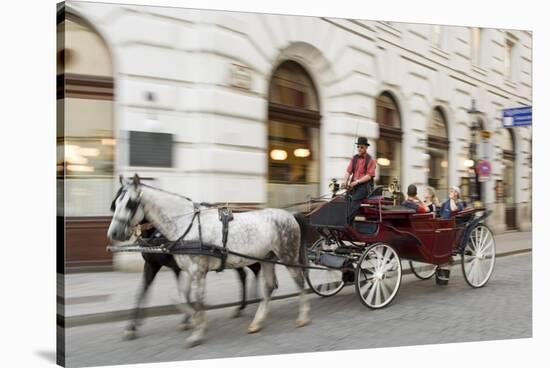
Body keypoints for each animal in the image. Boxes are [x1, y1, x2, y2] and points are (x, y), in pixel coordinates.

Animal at [109, 175, 310, 348]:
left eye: (130, 203)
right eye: (115, 203)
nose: (113, 233)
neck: (186, 226)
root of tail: (291, 215)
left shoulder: (197, 270)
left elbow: (196, 300)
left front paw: (196, 333)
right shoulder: (187, 270)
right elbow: (182, 297)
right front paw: (196, 323)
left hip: (288, 256)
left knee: (299, 281)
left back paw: (303, 317)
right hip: (267, 258)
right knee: (268, 286)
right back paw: (257, 322)